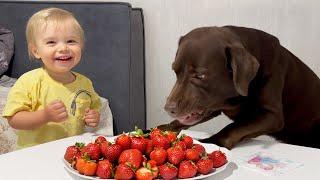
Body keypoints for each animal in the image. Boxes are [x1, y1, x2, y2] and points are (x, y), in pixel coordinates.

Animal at [160, 25, 320, 149]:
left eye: (200, 76)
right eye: (175, 71)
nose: (169, 108)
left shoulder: (272, 115)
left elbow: (233, 127)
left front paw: (211, 142)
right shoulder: (213, 106)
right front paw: (163, 129)